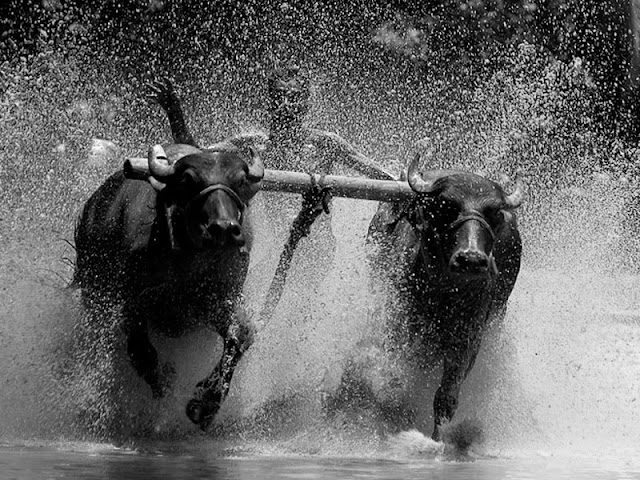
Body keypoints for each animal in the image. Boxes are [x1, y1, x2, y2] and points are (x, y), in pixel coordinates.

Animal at [74, 141, 264, 430]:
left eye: (240, 180)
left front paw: (205, 404)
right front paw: (166, 383)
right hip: (93, 291)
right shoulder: (131, 304)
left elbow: (240, 335)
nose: (223, 228)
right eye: (188, 180)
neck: (187, 261)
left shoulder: (218, 299)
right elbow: (142, 353)